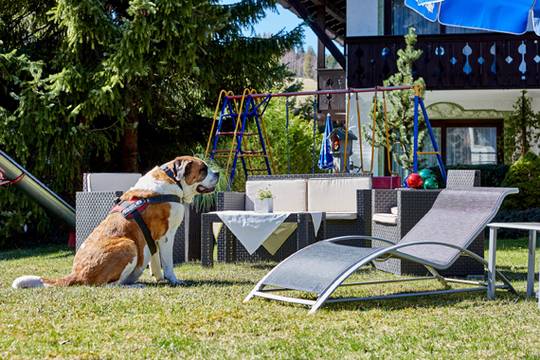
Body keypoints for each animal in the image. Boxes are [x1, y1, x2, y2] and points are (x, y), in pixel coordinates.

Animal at [10, 156, 218, 288]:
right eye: (203, 170)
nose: (217, 172)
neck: (173, 179)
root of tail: (76, 274)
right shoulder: (167, 236)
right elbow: (167, 262)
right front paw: (174, 279)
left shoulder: (153, 239)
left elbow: (155, 260)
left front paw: (159, 278)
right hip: (128, 244)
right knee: (106, 285)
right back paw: (134, 286)